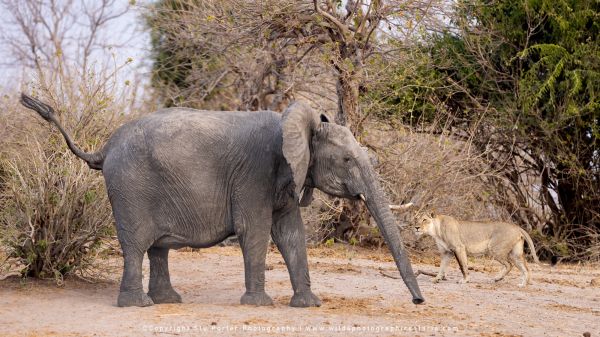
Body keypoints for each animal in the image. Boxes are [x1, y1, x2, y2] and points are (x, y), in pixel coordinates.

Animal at [21, 92, 424, 308]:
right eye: (348, 160)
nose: (419, 301)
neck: (299, 120)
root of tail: (103, 149)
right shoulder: (256, 174)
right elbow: (256, 233)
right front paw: (260, 305)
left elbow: (292, 235)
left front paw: (308, 305)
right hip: (130, 188)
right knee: (136, 245)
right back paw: (140, 305)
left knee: (157, 248)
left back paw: (170, 301)